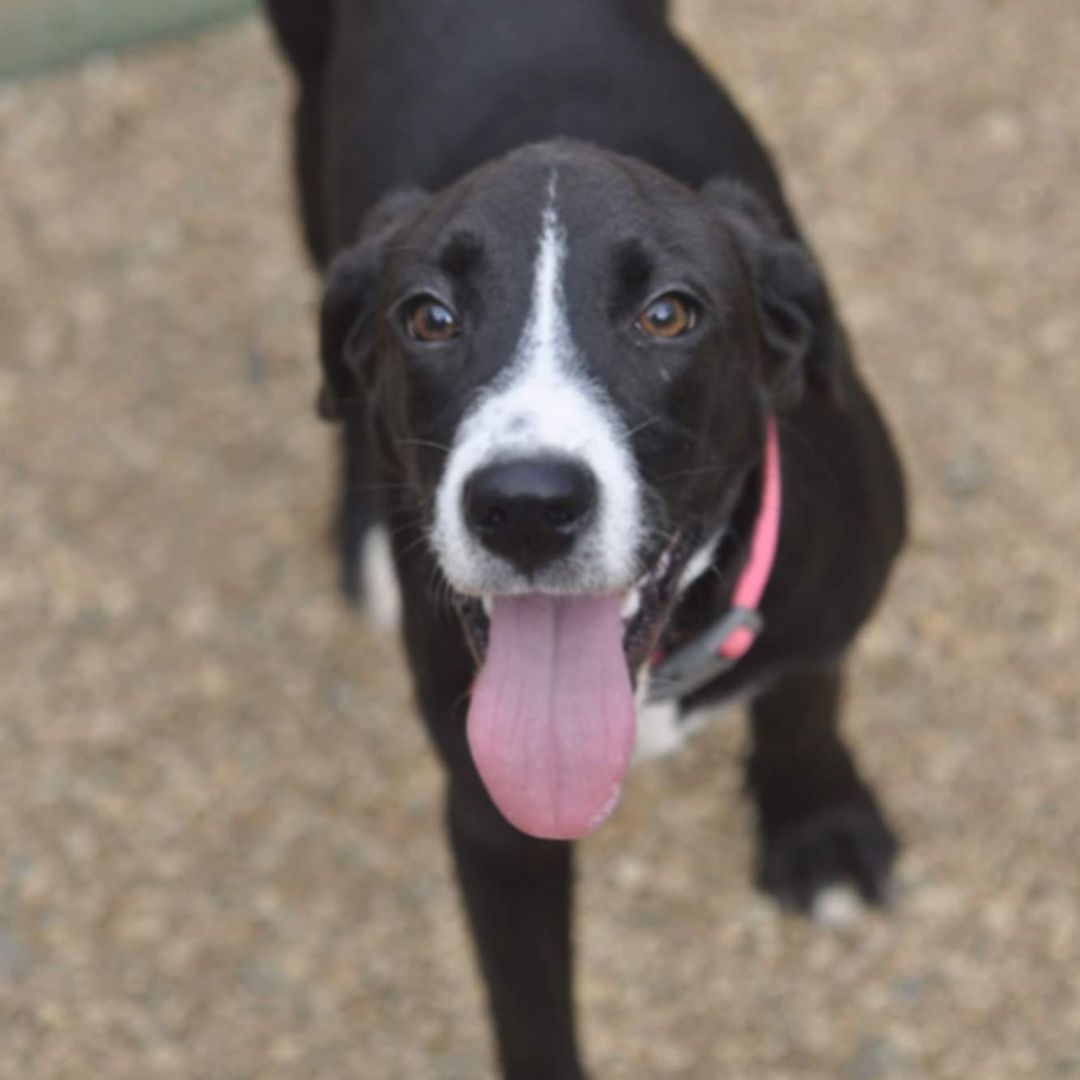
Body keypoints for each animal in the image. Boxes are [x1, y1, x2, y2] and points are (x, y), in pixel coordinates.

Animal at [265, 4, 907, 1075]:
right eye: (429, 318)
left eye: (669, 314)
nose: (526, 505)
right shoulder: (492, 819)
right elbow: (529, 1009)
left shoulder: (831, 596)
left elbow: (806, 695)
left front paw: (818, 825)